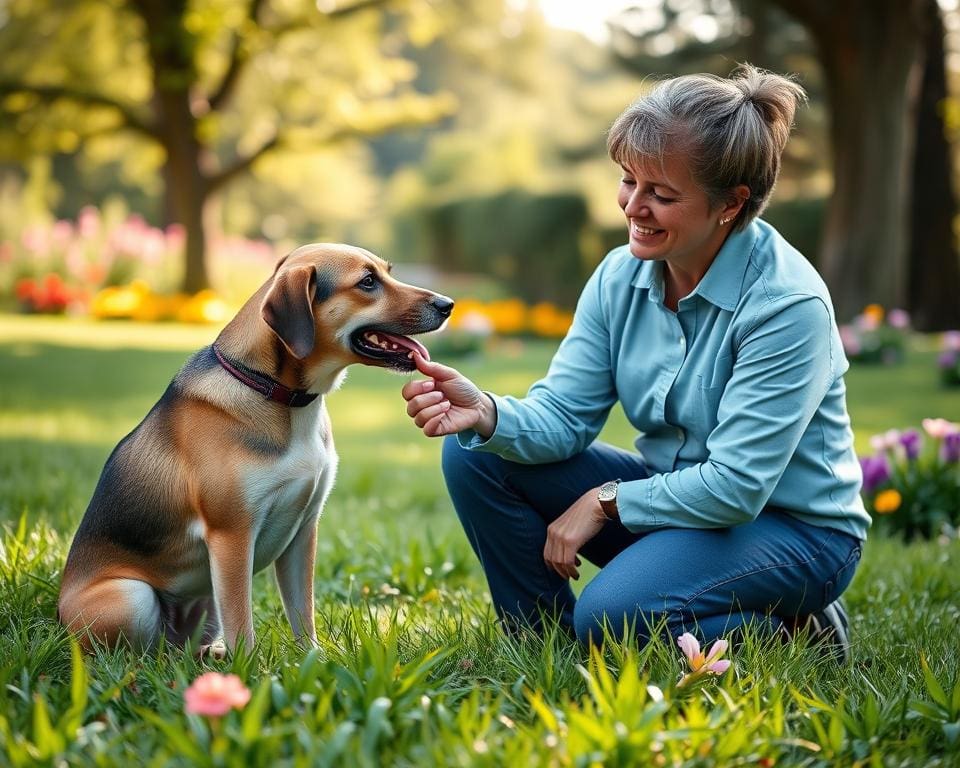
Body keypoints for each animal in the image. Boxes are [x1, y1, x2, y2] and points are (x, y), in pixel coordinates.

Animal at [59, 244, 454, 656]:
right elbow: (242, 622)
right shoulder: (232, 535)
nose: (448, 305)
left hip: (203, 605)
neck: (280, 394)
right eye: (367, 281)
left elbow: (302, 610)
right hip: (130, 597)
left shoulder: (304, 530)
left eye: (387, 271)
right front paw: (249, 670)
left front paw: (312, 660)